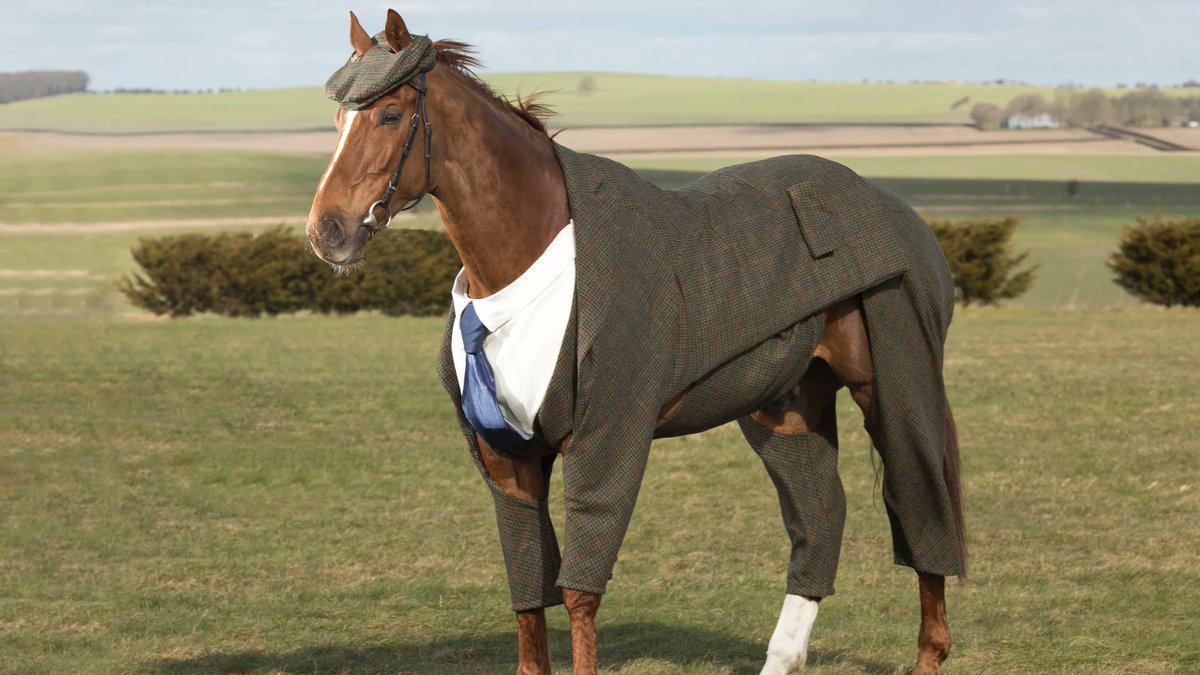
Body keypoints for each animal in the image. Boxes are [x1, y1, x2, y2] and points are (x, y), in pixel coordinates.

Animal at [307, 10, 966, 675]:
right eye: (339, 120)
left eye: (390, 115)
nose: (326, 231)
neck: (529, 262)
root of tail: (896, 211)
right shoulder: (506, 460)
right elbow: (528, 592)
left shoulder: (605, 439)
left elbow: (578, 588)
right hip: (785, 405)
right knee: (820, 513)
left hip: (891, 379)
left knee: (922, 500)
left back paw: (930, 651)